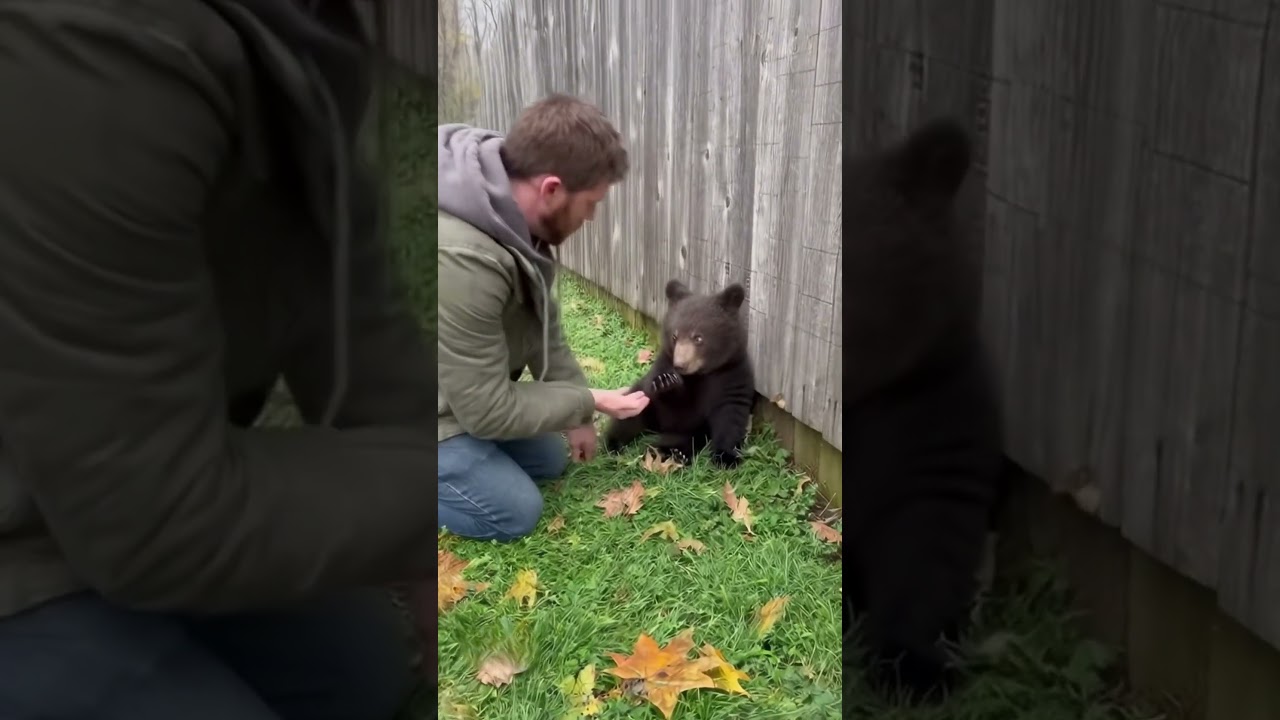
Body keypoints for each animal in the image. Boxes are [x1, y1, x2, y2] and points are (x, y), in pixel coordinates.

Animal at [604, 280, 755, 468]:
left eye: (698, 338)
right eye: (674, 336)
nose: (680, 365)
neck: (702, 373)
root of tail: (656, 428)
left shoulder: (733, 374)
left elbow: (730, 413)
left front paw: (726, 457)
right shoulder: (663, 365)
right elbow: (674, 405)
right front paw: (666, 382)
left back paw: (673, 452)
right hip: (640, 400)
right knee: (627, 419)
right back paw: (614, 443)